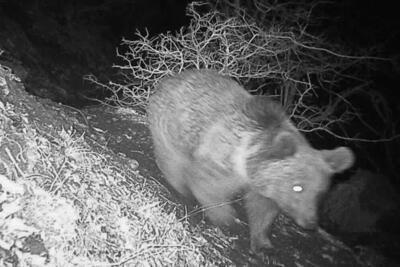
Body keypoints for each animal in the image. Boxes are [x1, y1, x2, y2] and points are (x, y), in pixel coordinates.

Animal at [147, 69, 354, 253]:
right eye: (298, 187)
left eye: (321, 193)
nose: (310, 222)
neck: (249, 166)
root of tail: (172, 77)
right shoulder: (223, 156)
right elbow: (207, 184)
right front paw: (227, 218)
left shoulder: (264, 187)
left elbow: (263, 211)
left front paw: (263, 243)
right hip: (172, 124)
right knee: (172, 158)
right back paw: (179, 186)